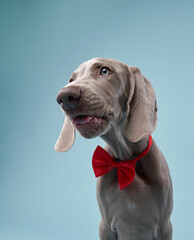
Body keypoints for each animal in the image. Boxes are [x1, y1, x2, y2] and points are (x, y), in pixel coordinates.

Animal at [54, 57, 173, 240]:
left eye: (104, 71)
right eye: (71, 80)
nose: (64, 97)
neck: (127, 161)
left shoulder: (164, 226)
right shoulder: (105, 226)